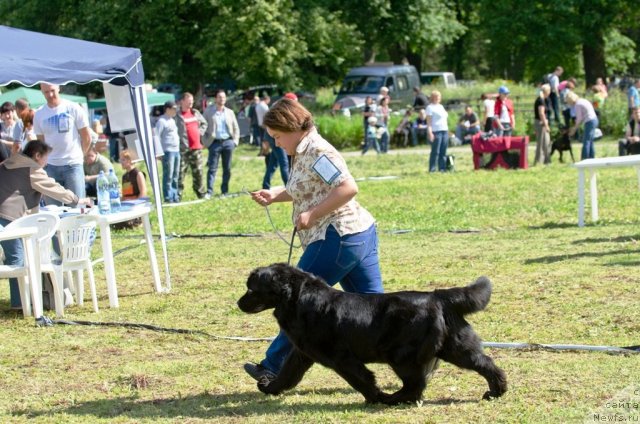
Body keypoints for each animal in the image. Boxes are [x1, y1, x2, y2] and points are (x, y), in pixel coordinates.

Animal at [238, 264, 508, 406]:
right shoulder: (302, 353)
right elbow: (288, 373)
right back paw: (496, 391)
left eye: (252, 289)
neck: (297, 299)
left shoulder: (341, 357)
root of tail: (438, 296)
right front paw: (269, 387)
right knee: (487, 364)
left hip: (401, 355)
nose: (239, 302)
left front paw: (375, 397)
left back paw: (394, 398)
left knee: (416, 382)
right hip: (457, 346)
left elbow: (361, 379)